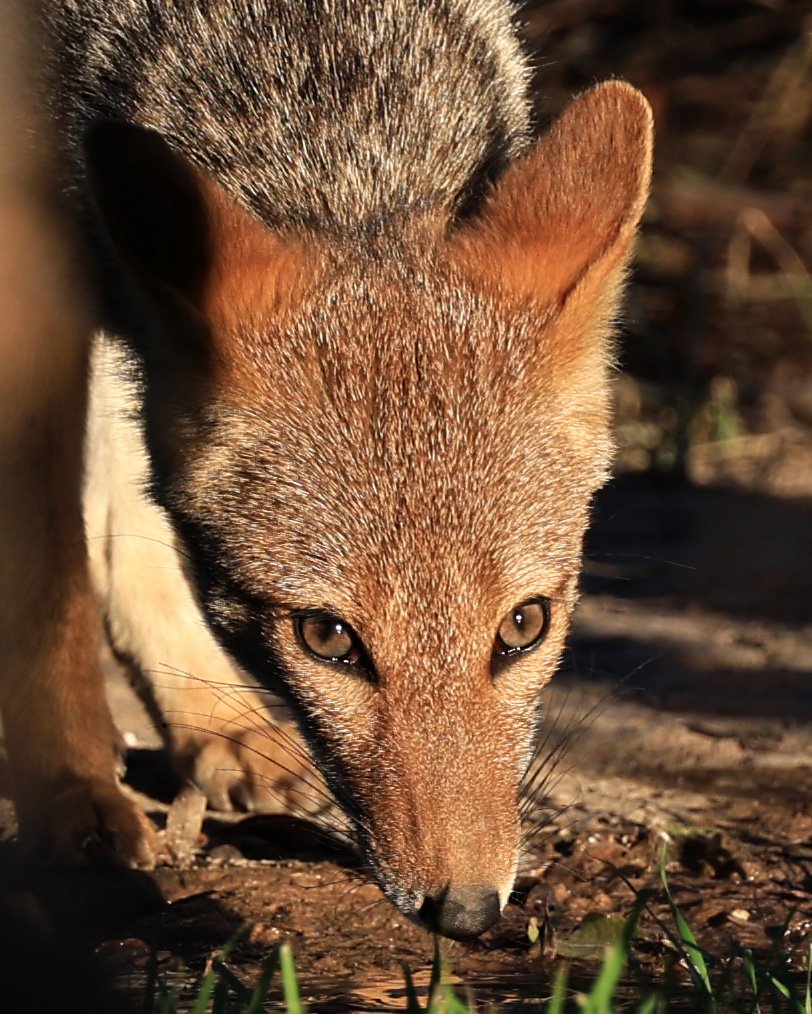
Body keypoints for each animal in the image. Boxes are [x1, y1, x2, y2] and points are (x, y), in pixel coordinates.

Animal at [0, 0, 652, 941]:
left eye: (524, 626)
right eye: (327, 638)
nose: (465, 913)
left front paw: (203, 713)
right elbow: (46, 576)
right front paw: (68, 788)